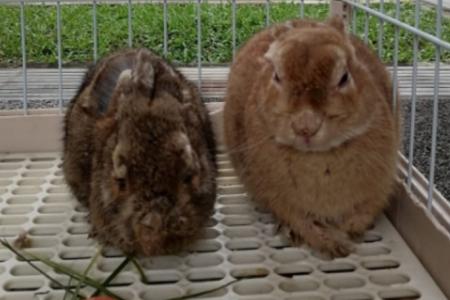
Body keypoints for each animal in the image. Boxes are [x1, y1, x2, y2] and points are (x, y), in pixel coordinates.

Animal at [224, 16, 400, 256]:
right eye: (276, 76)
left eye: (344, 77)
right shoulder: (282, 201)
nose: (305, 127)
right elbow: (302, 221)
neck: (318, 157)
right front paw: (331, 244)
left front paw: (348, 234)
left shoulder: (379, 187)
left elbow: (363, 213)